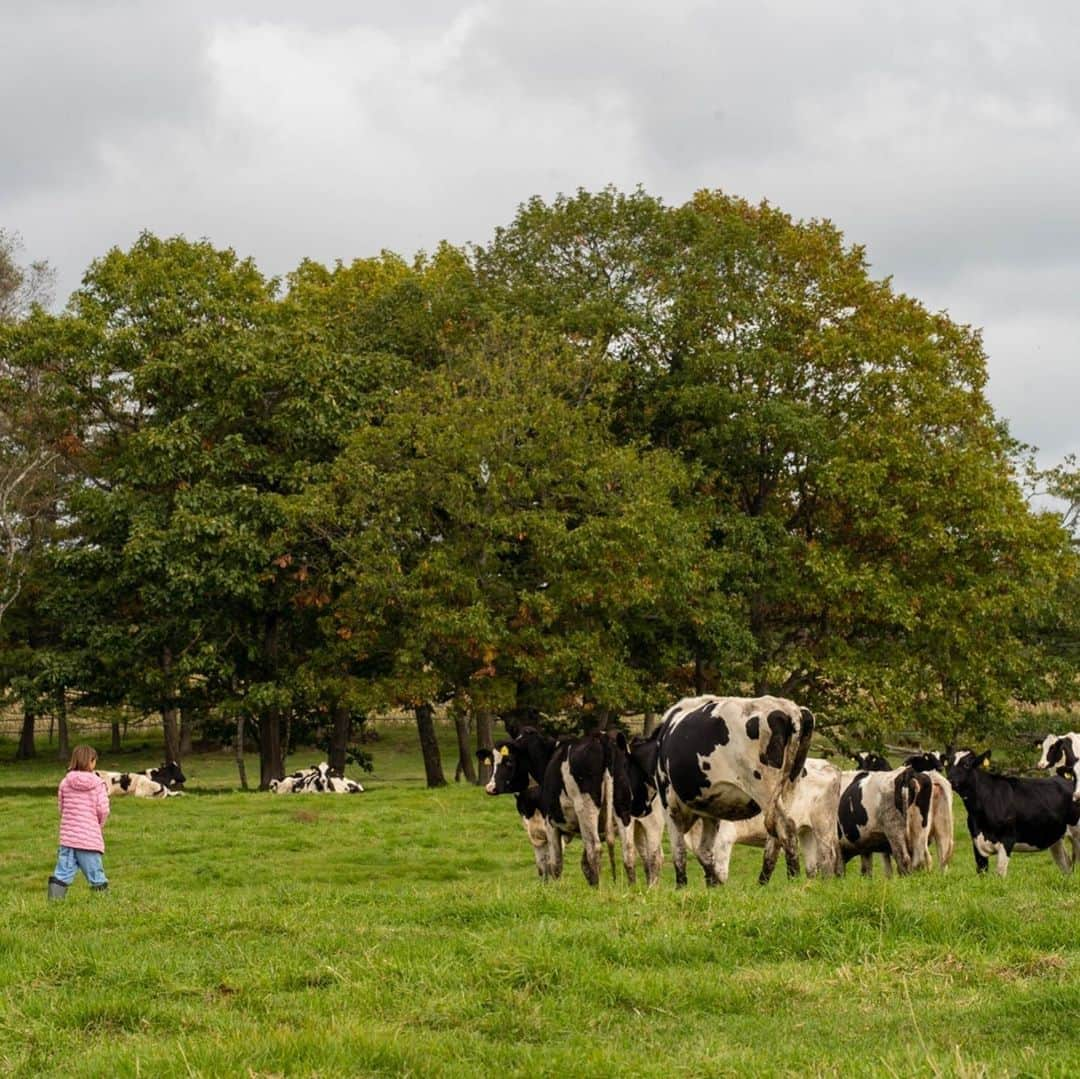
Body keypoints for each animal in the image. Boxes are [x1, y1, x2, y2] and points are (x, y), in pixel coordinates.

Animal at [648, 695, 812, 889]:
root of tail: (789, 708)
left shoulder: (669, 806)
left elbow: (679, 851)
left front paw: (681, 887)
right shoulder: (710, 811)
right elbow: (704, 851)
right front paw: (714, 885)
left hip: (764, 789)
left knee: (785, 828)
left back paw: (792, 879)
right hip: (788, 788)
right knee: (776, 836)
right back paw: (762, 884)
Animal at [695, 760, 846, 885]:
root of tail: (831, 767)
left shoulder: (724, 839)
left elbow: (719, 870)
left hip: (823, 825)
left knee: (828, 855)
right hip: (807, 830)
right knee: (812, 865)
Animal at [946, 751, 1080, 877]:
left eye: (966, 765)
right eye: (948, 764)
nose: (949, 780)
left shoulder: (1007, 839)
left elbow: (1000, 873)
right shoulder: (976, 842)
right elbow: (981, 872)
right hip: (1056, 837)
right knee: (1066, 864)